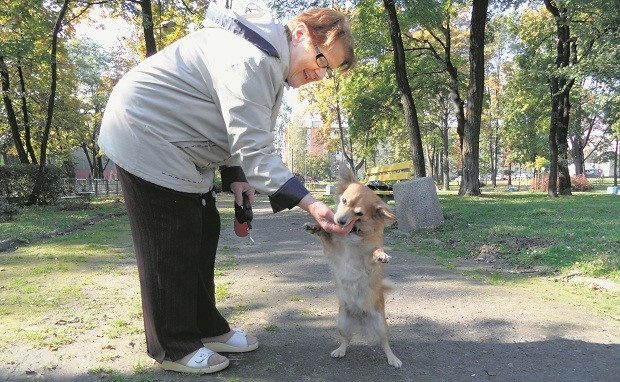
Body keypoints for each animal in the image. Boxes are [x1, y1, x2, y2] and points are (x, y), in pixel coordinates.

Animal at [302, 163, 402, 368]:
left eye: (359, 214)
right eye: (344, 201)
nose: (339, 221)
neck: (353, 233)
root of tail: (360, 319)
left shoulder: (366, 265)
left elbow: (373, 254)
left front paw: (381, 254)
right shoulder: (332, 250)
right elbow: (325, 234)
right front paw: (315, 226)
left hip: (381, 324)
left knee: (384, 342)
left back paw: (392, 358)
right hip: (342, 322)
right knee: (346, 339)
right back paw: (340, 350)